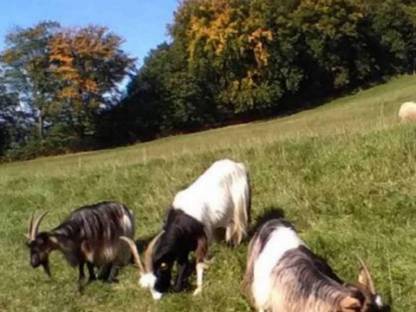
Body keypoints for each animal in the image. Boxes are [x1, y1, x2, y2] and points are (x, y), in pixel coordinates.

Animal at [120, 160, 250, 298]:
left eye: (157, 280)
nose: (157, 298)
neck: (180, 223)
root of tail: (237, 164)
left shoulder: (202, 239)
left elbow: (199, 264)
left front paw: (198, 289)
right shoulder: (181, 248)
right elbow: (183, 266)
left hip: (241, 206)